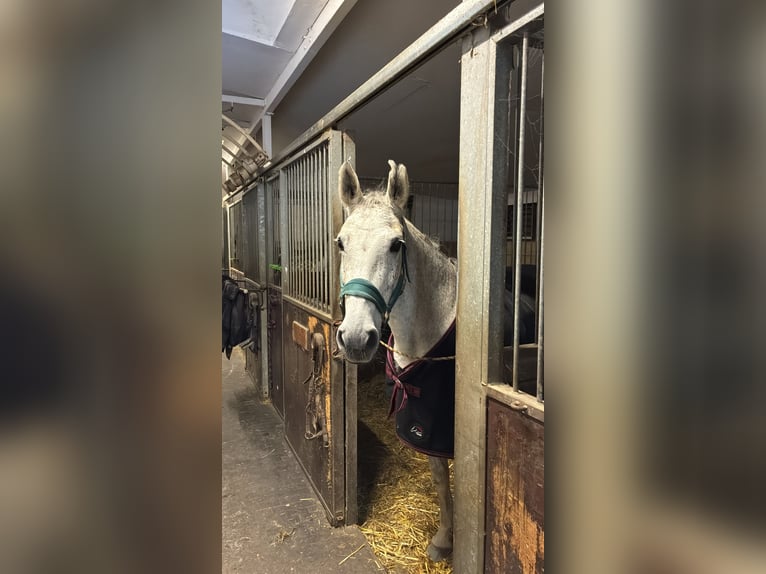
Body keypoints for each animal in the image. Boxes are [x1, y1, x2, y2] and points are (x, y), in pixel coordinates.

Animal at [335, 160, 537, 561]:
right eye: (341, 243)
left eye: (396, 245)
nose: (356, 339)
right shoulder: (426, 425)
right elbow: (442, 480)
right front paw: (444, 539)